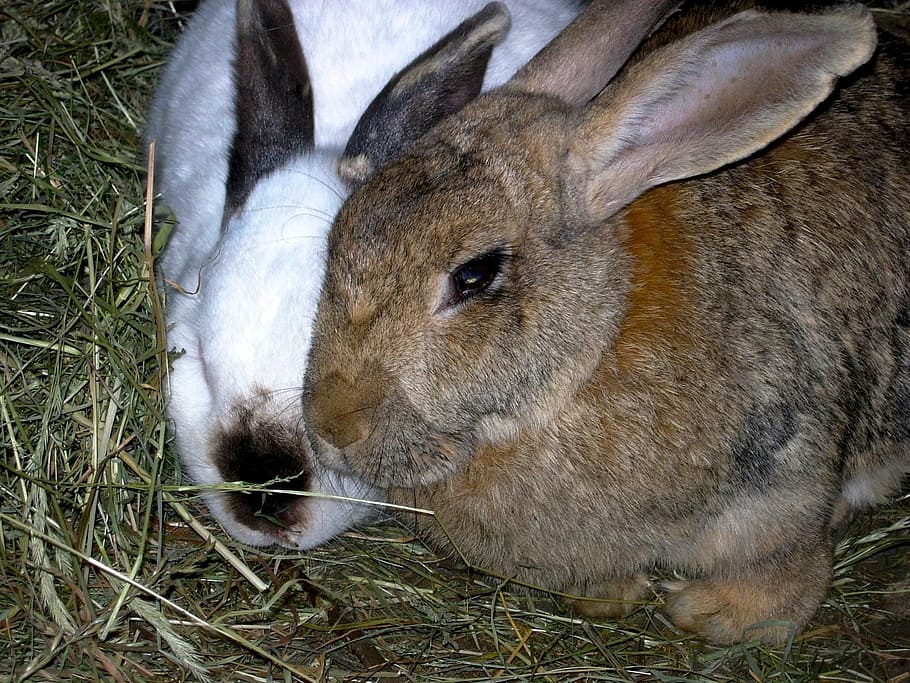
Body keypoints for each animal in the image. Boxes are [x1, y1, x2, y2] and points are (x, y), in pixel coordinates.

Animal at [300, 0, 910, 644]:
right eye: (336, 240)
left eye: (474, 275)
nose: (333, 427)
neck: (592, 351)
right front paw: (607, 596)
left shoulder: (783, 478)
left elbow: (784, 564)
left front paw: (716, 616)